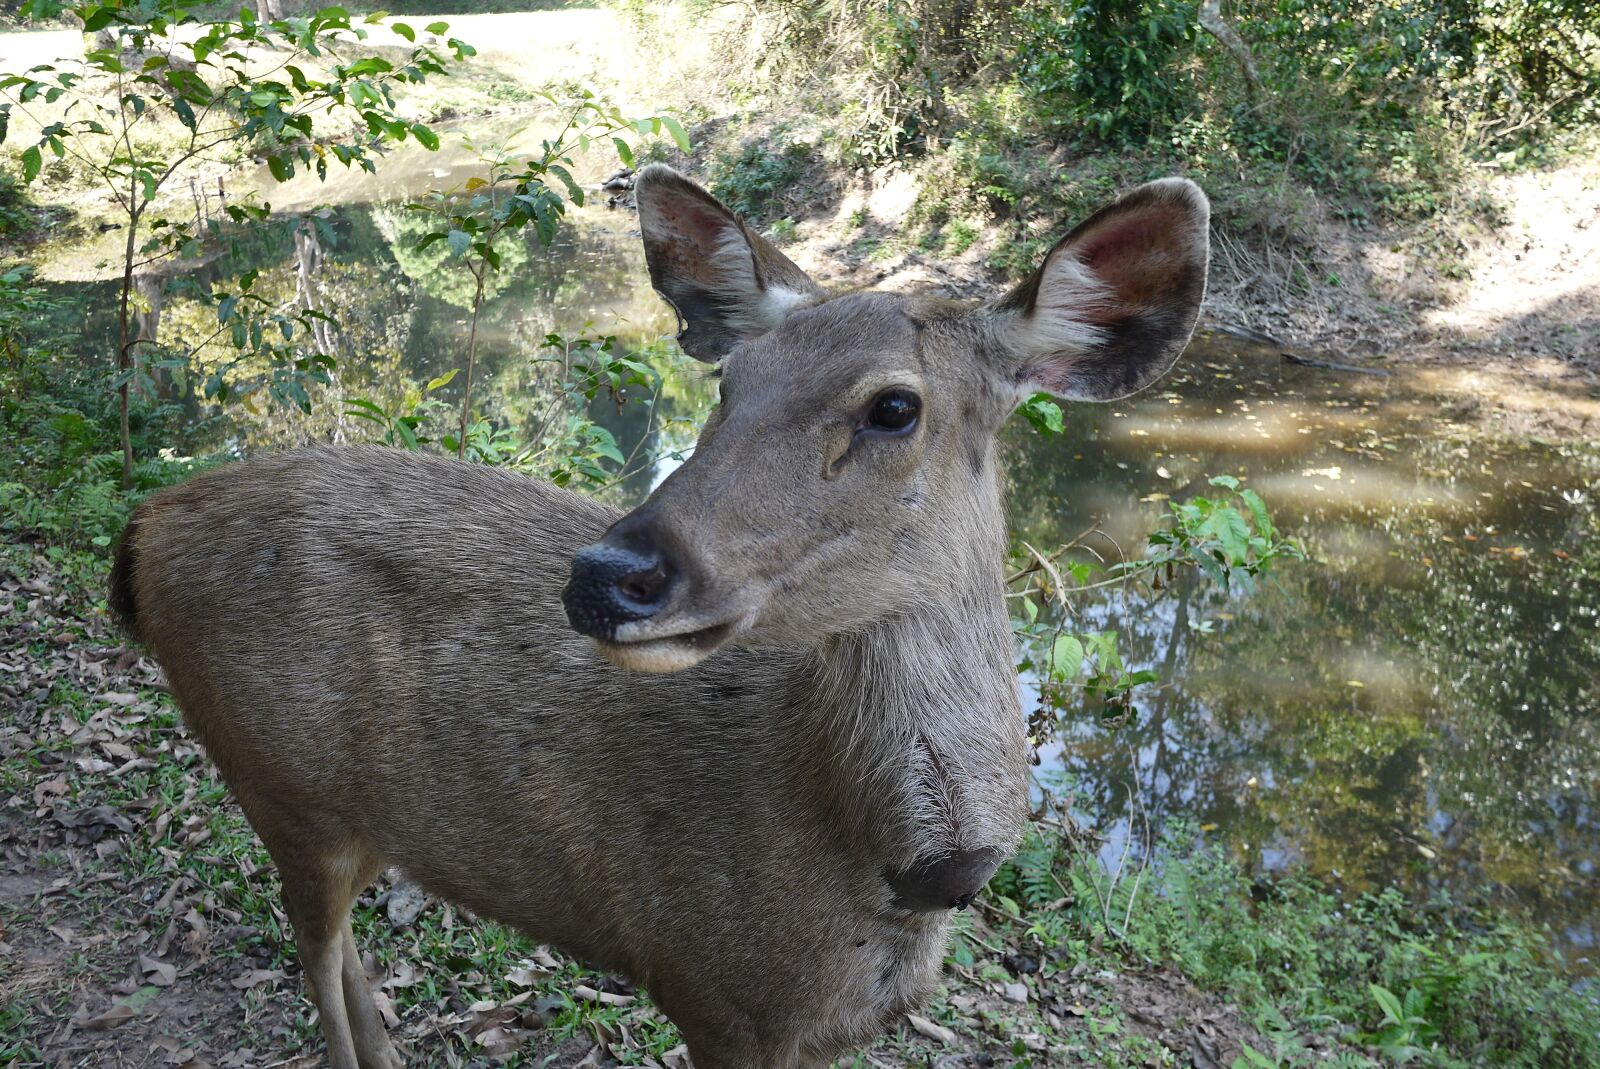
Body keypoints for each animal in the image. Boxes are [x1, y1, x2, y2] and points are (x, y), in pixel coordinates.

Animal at [112, 167, 1203, 1069]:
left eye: (895, 406)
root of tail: (143, 531)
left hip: (350, 810)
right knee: (317, 955)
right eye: (730, 382)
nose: (607, 575)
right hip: (275, 779)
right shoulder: (712, 988)